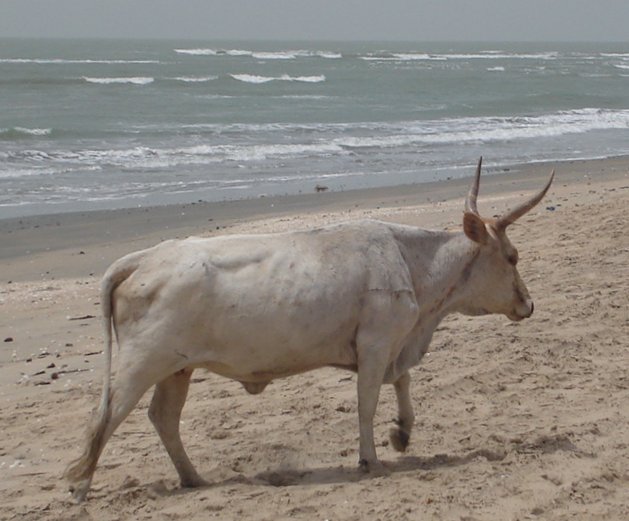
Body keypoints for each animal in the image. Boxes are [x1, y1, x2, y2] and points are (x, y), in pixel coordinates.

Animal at [66, 158, 552, 500]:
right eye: (512, 256)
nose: (528, 304)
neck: (412, 264)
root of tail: (143, 258)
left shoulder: (390, 345)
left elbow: (403, 382)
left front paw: (402, 433)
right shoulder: (376, 343)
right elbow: (367, 403)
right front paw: (371, 459)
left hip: (176, 369)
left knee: (163, 418)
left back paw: (194, 479)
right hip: (141, 363)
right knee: (106, 414)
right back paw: (81, 485)